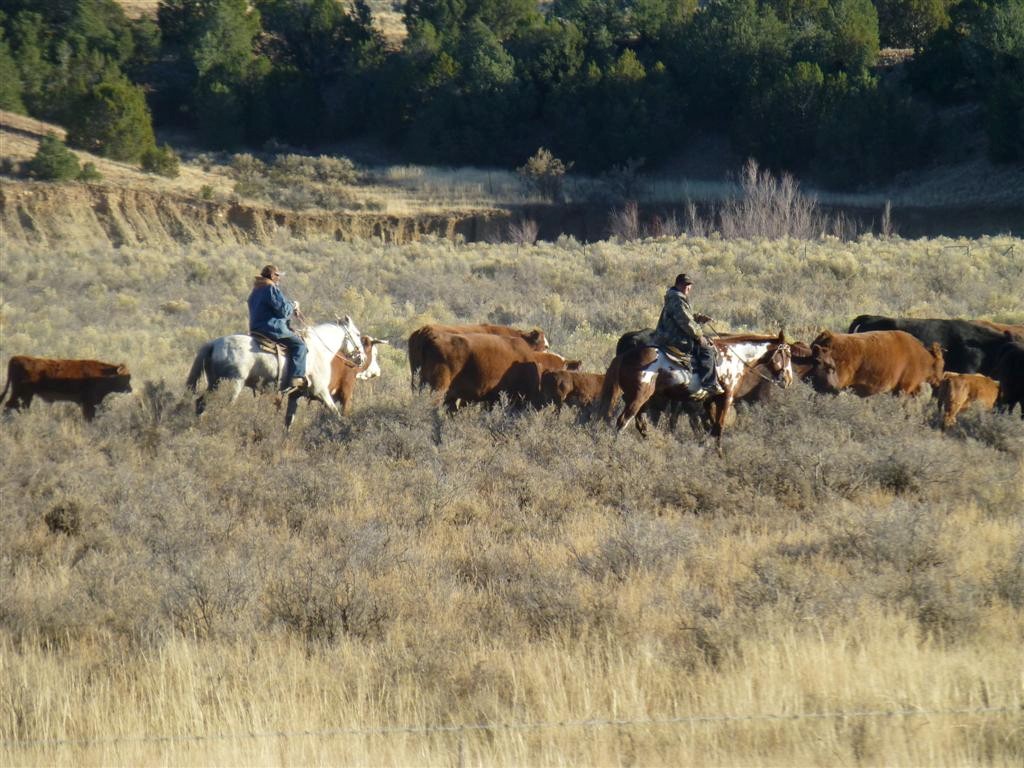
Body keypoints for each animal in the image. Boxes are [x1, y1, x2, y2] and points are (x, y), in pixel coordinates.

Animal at [1, 355, 132, 420]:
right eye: (126, 377)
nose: (130, 389)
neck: (104, 374)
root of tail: (16, 358)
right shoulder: (89, 403)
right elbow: (89, 416)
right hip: (21, 392)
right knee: (11, 405)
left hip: (26, 394)